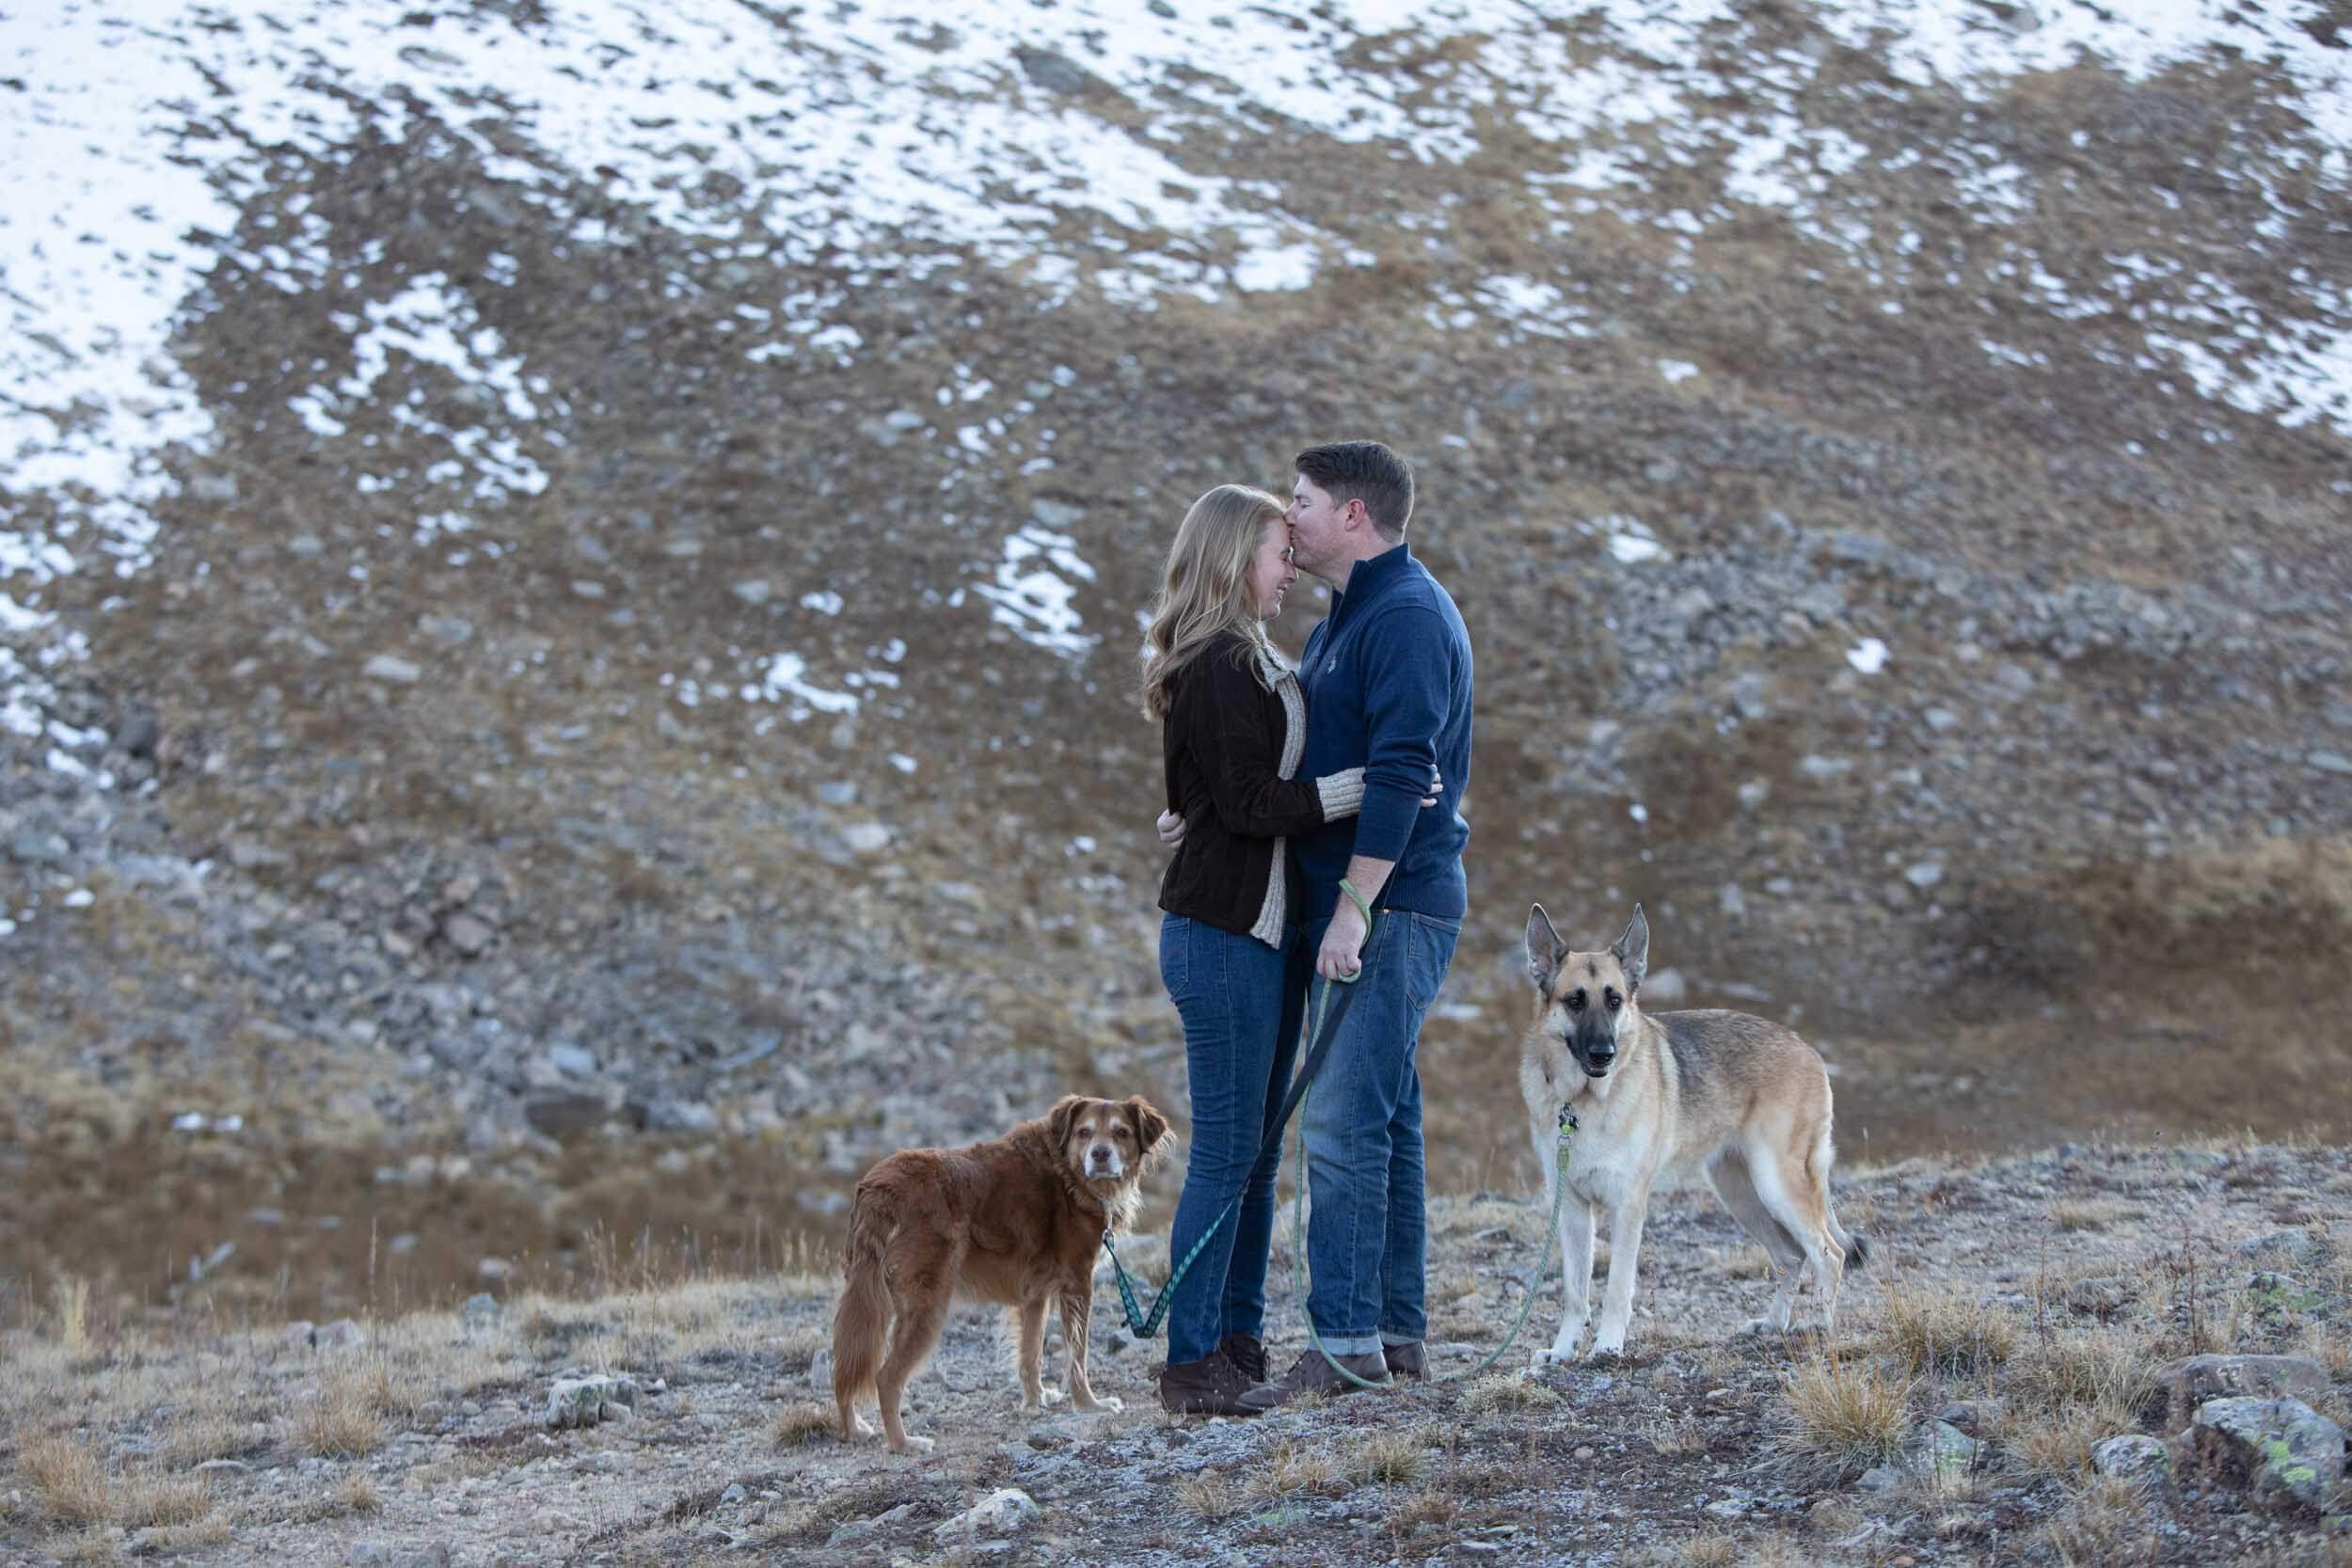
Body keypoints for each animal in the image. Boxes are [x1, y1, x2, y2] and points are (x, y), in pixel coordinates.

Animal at [833, 1100, 1171, 1457]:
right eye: (1084, 1132)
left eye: (1122, 1132)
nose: (1100, 1154)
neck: (1067, 1172)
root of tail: (879, 1188)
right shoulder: (1077, 1284)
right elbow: (1077, 1357)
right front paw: (1090, 1404)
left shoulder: (1036, 1296)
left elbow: (1031, 1355)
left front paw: (1036, 1401)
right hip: (927, 1305)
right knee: (886, 1377)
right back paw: (903, 1443)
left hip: (867, 1297)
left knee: (844, 1368)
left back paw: (853, 1429)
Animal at [1524, 907, 1872, 1363]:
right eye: (1575, 1001)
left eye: (1614, 1000)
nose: (1604, 1054)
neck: (1582, 1103)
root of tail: (1807, 1048)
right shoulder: (1572, 1209)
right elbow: (1575, 1293)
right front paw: (1562, 1351)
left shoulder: (1627, 1206)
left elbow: (1617, 1287)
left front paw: (1608, 1345)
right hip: (1742, 1195)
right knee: (1790, 1256)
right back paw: (1774, 1324)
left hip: (1778, 1187)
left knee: (1829, 1254)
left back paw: (1819, 1327)